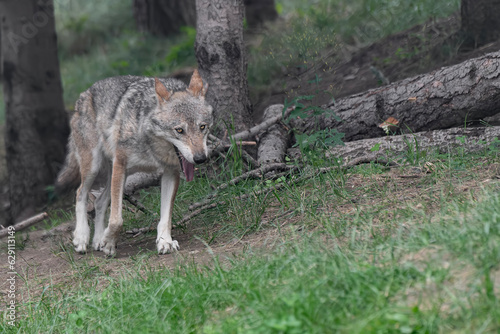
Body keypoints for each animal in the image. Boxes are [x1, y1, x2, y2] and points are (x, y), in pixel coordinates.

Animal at [56, 69, 213, 254]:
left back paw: (98, 239)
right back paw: (81, 237)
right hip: (95, 168)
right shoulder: (121, 165)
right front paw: (109, 243)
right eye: (179, 130)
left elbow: (166, 217)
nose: (200, 158)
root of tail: (85, 93)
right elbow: (116, 219)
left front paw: (164, 241)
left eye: (202, 127)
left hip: (115, 175)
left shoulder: (170, 173)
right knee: (80, 193)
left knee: (100, 201)